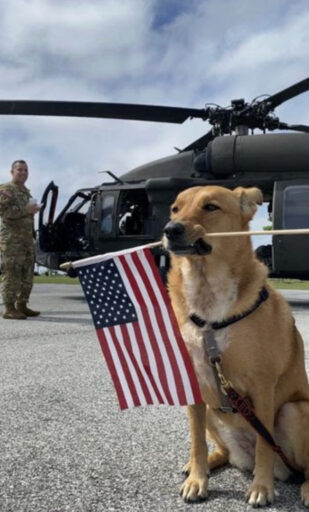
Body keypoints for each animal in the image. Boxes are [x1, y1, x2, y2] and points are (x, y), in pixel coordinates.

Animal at [161, 185, 308, 508]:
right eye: (175, 208)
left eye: (211, 207)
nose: (170, 229)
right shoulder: (194, 389)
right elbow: (197, 443)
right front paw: (197, 479)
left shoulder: (262, 388)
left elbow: (266, 445)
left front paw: (261, 487)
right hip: (212, 412)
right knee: (220, 450)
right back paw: (204, 465)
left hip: (293, 410)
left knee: (302, 465)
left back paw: (307, 487)